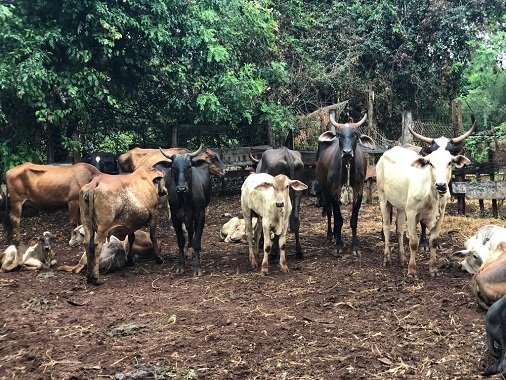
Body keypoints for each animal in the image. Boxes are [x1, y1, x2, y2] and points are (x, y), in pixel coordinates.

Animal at [153, 145, 211, 276]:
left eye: (189, 166)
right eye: (174, 167)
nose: (181, 188)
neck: (185, 199)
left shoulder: (200, 215)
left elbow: (197, 241)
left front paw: (197, 268)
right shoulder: (176, 217)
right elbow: (180, 240)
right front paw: (181, 266)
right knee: (189, 231)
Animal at [316, 113, 376, 255]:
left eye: (355, 134)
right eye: (339, 135)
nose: (347, 153)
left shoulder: (359, 192)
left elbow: (353, 220)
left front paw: (355, 246)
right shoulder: (333, 192)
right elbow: (338, 219)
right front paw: (338, 245)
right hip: (324, 191)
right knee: (329, 211)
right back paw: (330, 236)